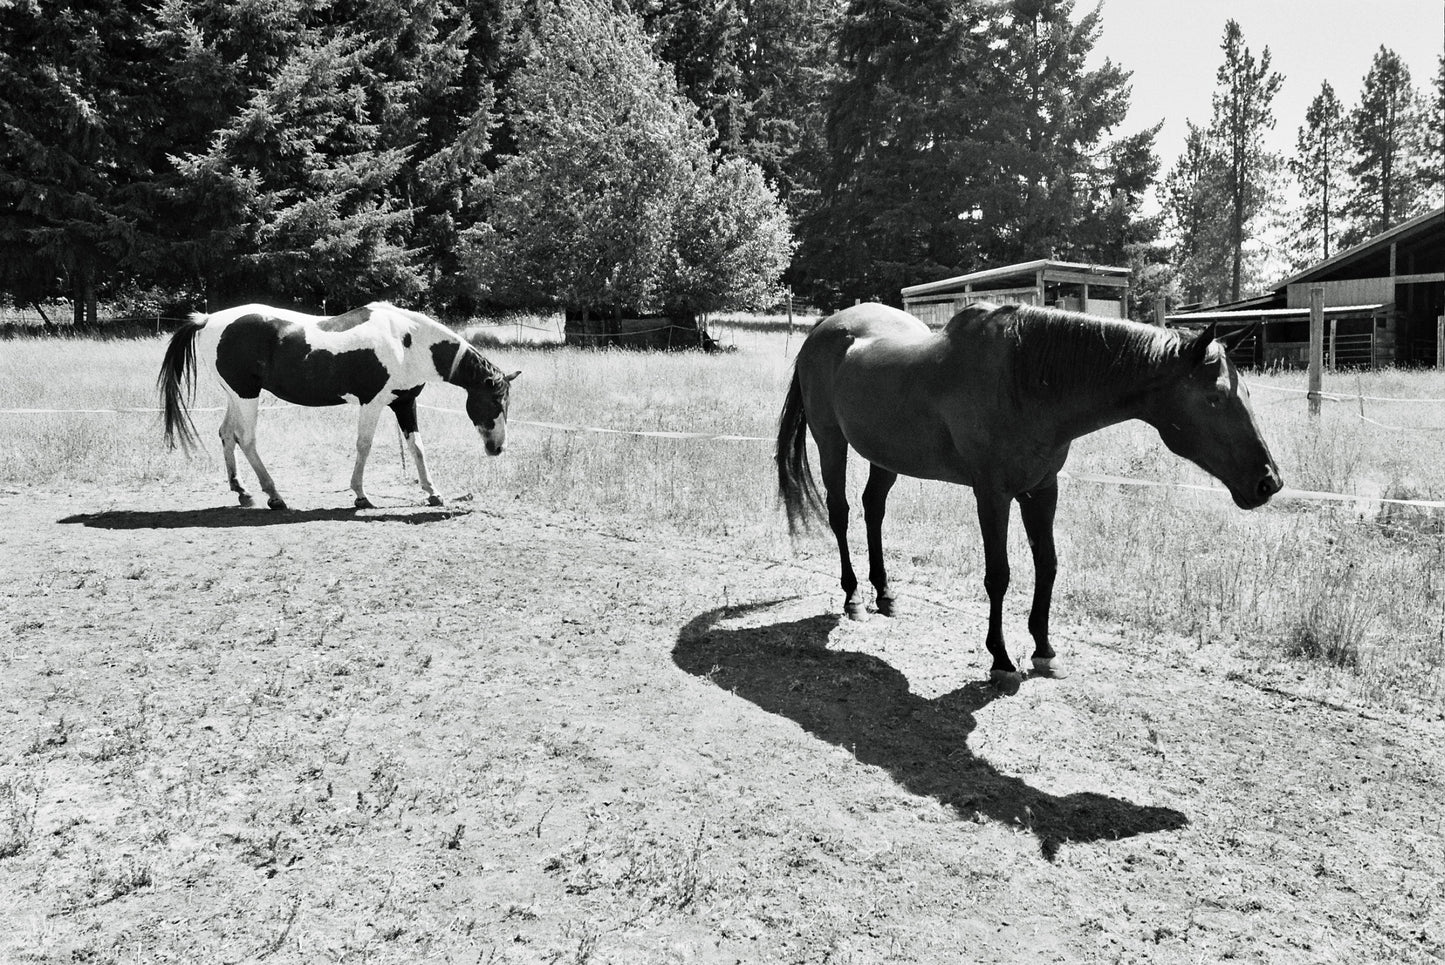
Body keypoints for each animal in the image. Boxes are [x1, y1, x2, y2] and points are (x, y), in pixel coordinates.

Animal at [160, 301, 520, 511]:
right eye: (495, 400)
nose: (497, 448)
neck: (407, 341)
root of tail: (208, 319)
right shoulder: (373, 403)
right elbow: (364, 445)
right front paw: (360, 495)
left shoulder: (404, 403)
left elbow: (417, 447)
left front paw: (433, 493)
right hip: (246, 396)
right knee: (246, 439)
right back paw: (274, 496)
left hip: (236, 396)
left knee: (226, 434)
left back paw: (242, 491)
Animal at [774, 301, 1283, 684]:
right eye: (1215, 398)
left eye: (1247, 394)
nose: (1269, 482)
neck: (1025, 382)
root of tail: (823, 329)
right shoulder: (992, 494)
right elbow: (998, 575)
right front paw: (1000, 660)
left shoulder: (1042, 490)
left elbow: (1048, 565)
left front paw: (1044, 649)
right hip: (831, 441)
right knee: (840, 513)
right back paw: (854, 598)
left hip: (886, 456)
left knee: (872, 509)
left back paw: (885, 594)